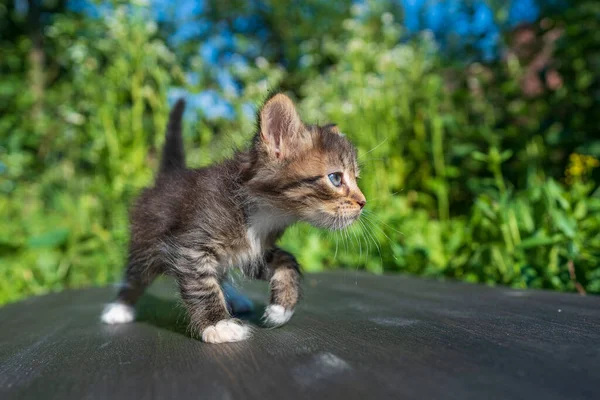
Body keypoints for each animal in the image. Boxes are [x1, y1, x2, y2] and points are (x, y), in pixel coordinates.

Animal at [99, 92, 366, 342]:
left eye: (356, 179)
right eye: (336, 178)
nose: (363, 203)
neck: (262, 212)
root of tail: (168, 176)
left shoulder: (253, 251)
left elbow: (287, 261)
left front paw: (281, 309)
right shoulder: (189, 247)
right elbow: (202, 286)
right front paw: (218, 324)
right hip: (145, 241)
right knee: (136, 274)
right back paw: (120, 308)